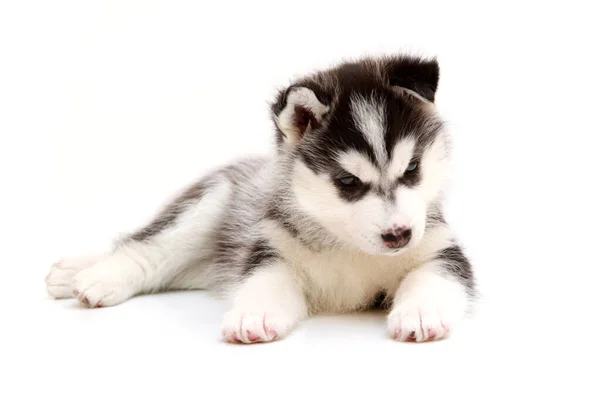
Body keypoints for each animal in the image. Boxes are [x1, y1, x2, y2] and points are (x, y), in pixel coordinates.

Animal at [45, 54, 474, 344]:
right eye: (348, 181)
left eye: (413, 168)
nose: (399, 235)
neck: (347, 244)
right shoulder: (270, 250)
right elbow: (264, 283)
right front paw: (255, 314)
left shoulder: (442, 249)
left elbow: (432, 276)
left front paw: (421, 311)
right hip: (211, 202)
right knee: (146, 248)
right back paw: (94, 276)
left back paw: (72, 271)